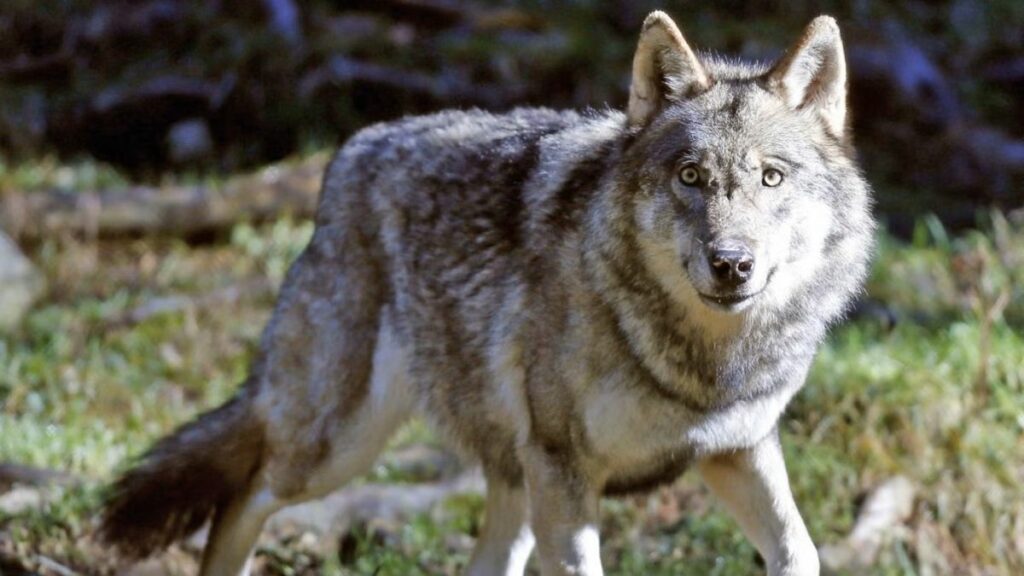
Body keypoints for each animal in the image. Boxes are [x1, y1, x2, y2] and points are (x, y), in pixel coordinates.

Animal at [99, 11, 874, 576]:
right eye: (691, 177)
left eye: (771, 176)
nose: (731, 264)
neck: (704, 366)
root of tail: (349, 153)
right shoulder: (565, 473)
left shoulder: (737, 450)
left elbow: (801, 552)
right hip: (332, 448)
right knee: (239, 498)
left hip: (504, 482)